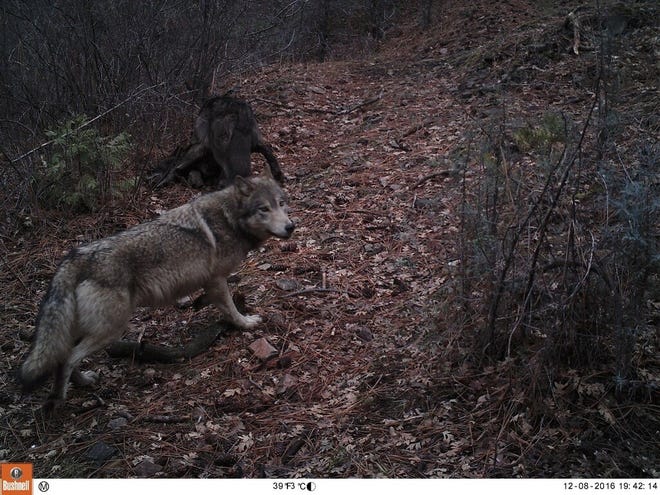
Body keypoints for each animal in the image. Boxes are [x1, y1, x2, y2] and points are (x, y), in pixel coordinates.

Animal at [18, 167, 294, 409]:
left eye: (281, 203)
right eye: (264, 209)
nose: (290, 226)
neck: (230, 219)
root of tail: (75, 258)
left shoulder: (210, 282)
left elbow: (211, 300)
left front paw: (199, 304)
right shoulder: (216, 278)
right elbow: (230, 309)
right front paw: (245, 323)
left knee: (62, 358)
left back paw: (81, 382)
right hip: (112, 328)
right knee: (68, 359)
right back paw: (64, 397)